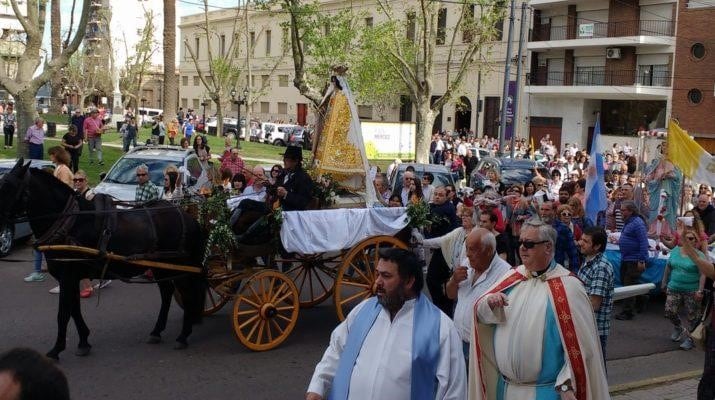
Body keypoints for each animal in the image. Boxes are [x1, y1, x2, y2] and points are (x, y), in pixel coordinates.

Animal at [0, 159, 207, 360]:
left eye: (8, 186)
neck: (70, 223)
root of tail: (189, 218)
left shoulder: (68, 276)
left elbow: (64, 313)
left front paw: (57, 349)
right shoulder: (70, 278)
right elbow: (74, 309)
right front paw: (84, 341)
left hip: (181, 266)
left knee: (187, 293)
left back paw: (183, 335)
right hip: (160, 266)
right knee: (167, 293)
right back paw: (157, 331)